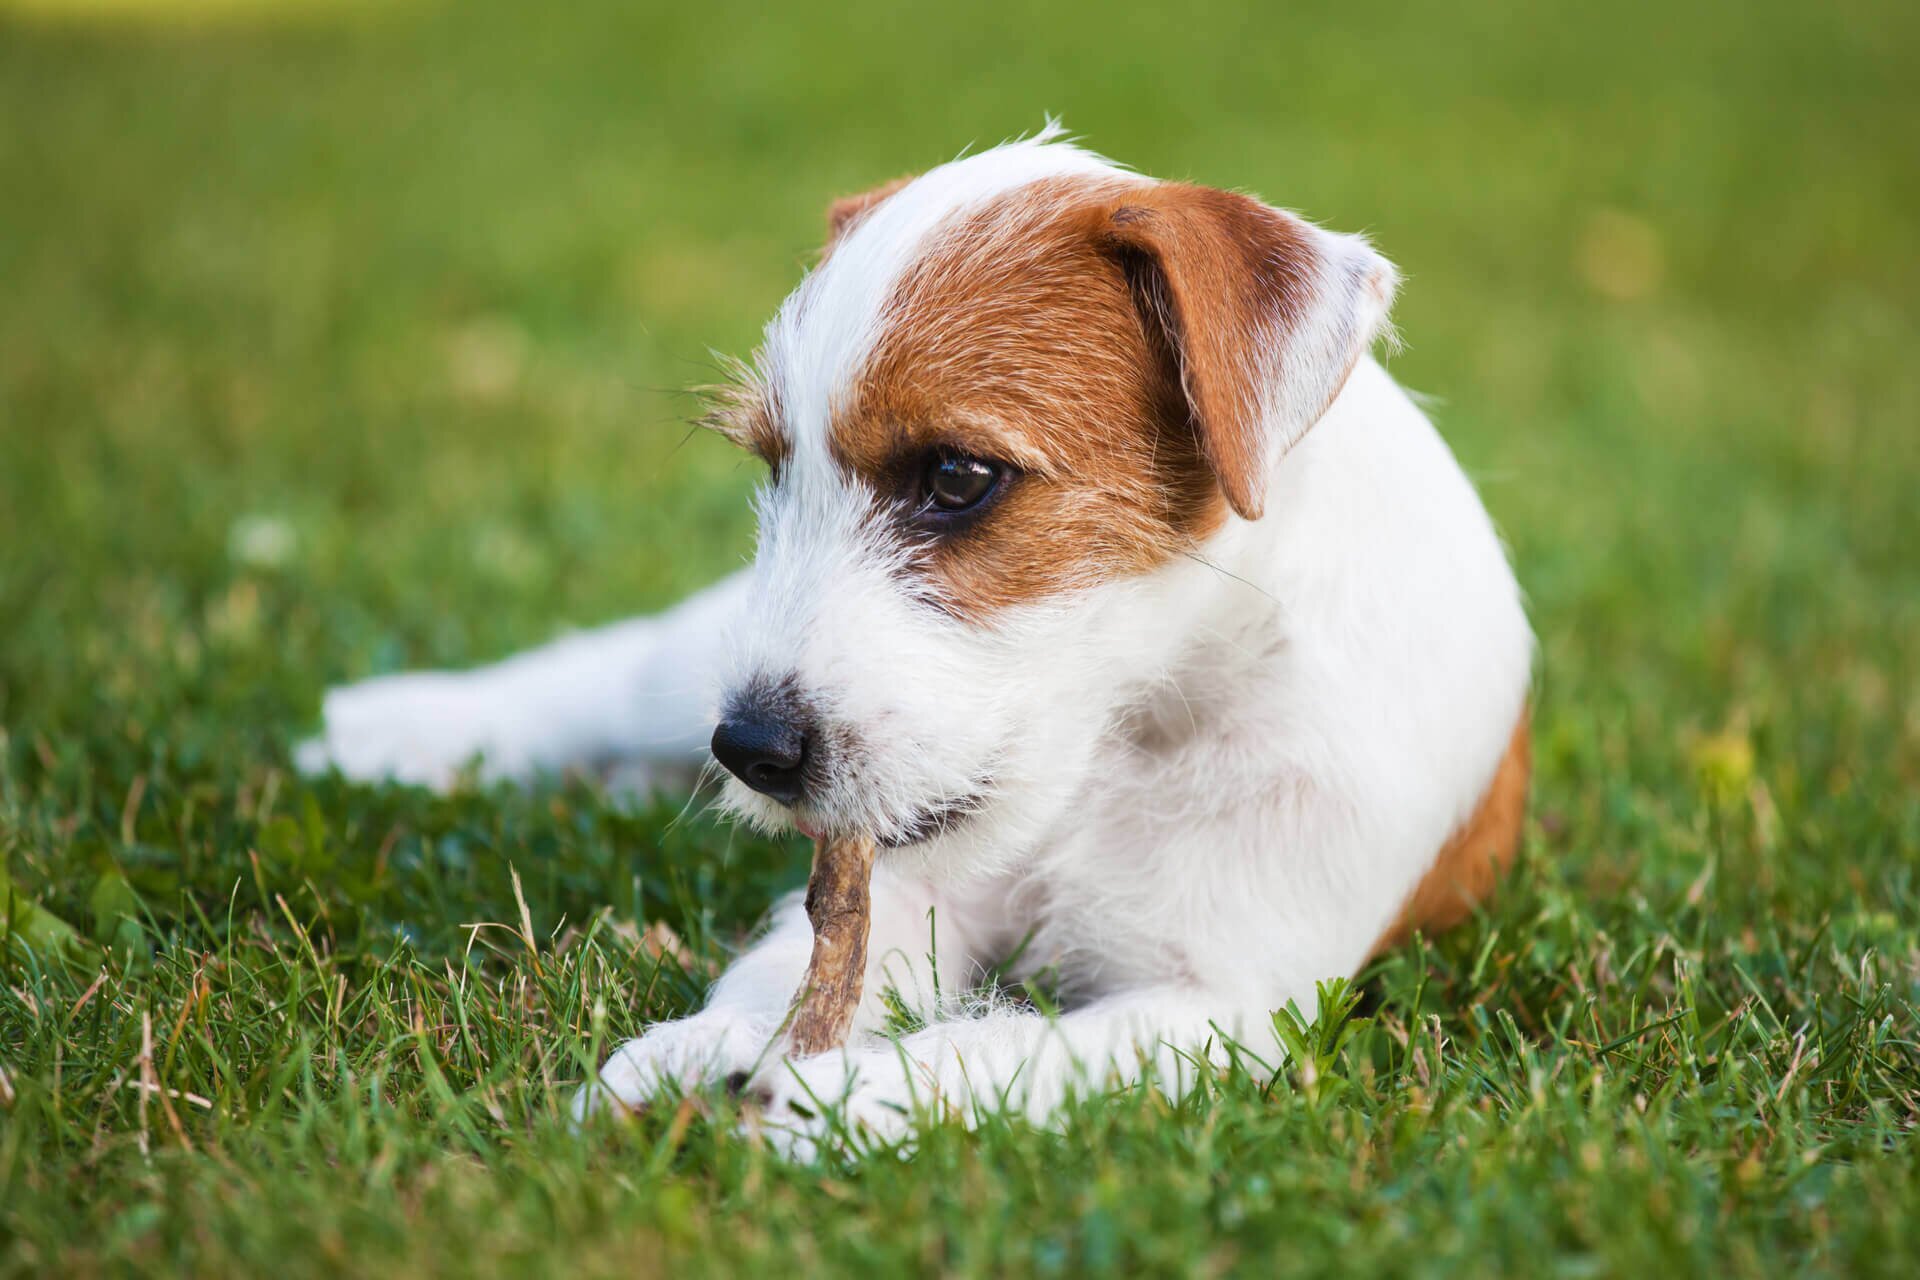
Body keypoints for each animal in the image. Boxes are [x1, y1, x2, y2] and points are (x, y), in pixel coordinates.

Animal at [295, 127, 1528, 1151]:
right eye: (773, 468)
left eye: (958, 477)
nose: (751, 751)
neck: (1120, 745)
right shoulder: (908, 887)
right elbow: (790, 965)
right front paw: (705, 1045)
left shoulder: (1221, 1009)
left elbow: (1008, 1051)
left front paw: (833, 1095)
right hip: (686, 665)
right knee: (613, 669)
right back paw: (399, 727)